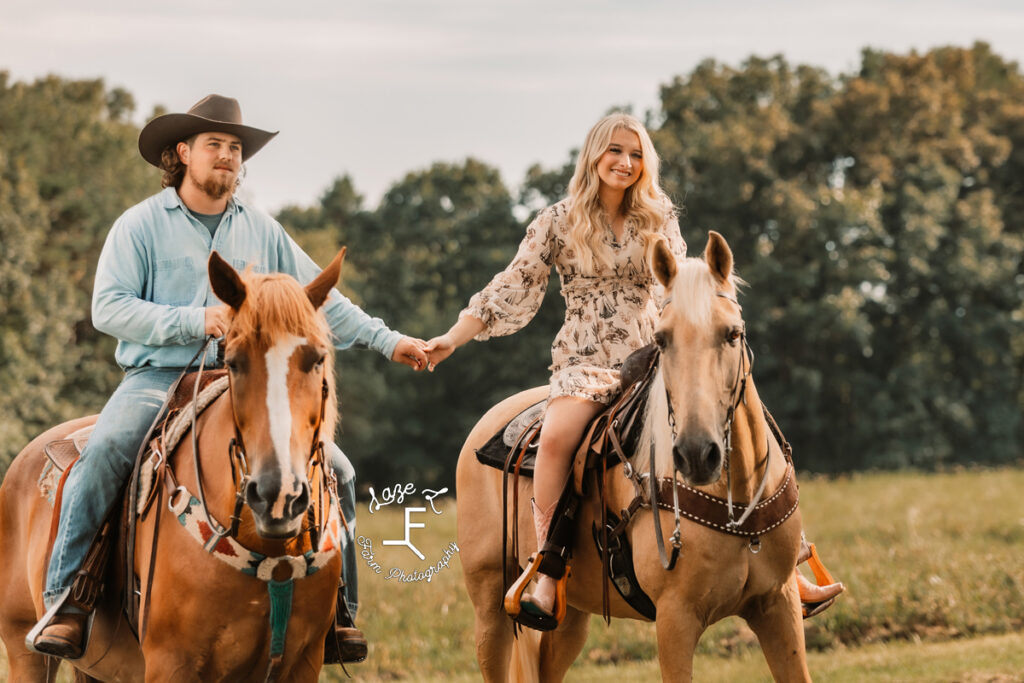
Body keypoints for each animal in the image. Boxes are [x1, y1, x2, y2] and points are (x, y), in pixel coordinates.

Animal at [0, 248, 348, 679]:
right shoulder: (171, 662)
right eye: (234, 362)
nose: (277, 495)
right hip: (25, 649)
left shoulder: (303, 662)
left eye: (316, 359)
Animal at [460, 232, 811, 679]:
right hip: (490, 605)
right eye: (662, 340)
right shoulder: (675, 620)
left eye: (732, 334)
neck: (738, 498)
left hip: (572, 613)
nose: (697, 454)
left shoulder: (779, 606)